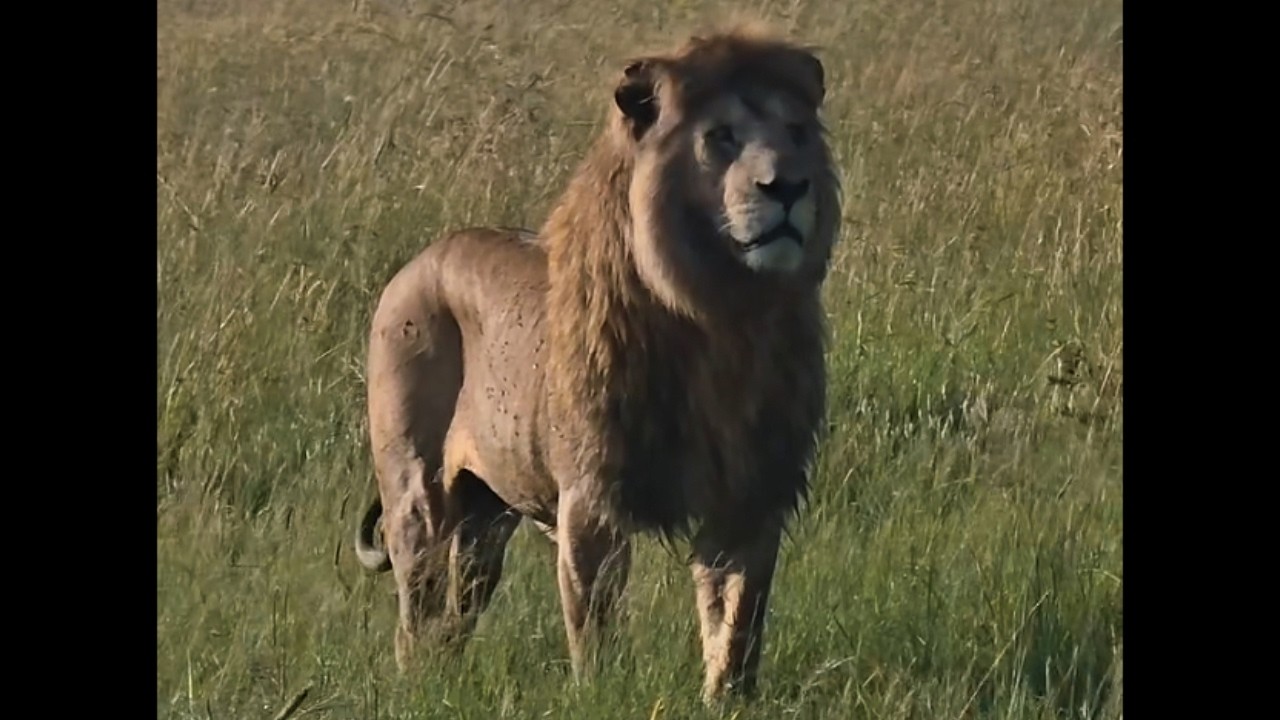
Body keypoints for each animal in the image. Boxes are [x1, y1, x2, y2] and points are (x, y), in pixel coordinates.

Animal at [353, 24, 840, 702]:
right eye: (721, 137)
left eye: (796, 132)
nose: (789, 186)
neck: (724, 314)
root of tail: (416, 261)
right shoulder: (592, 499)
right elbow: (596, 629)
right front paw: (601, 694)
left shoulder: (751, 492)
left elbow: (738, 622)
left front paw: (728, 701)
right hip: (415, 495)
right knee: (414, 615)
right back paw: (416, 687)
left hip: (485, 518)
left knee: (457, 614)